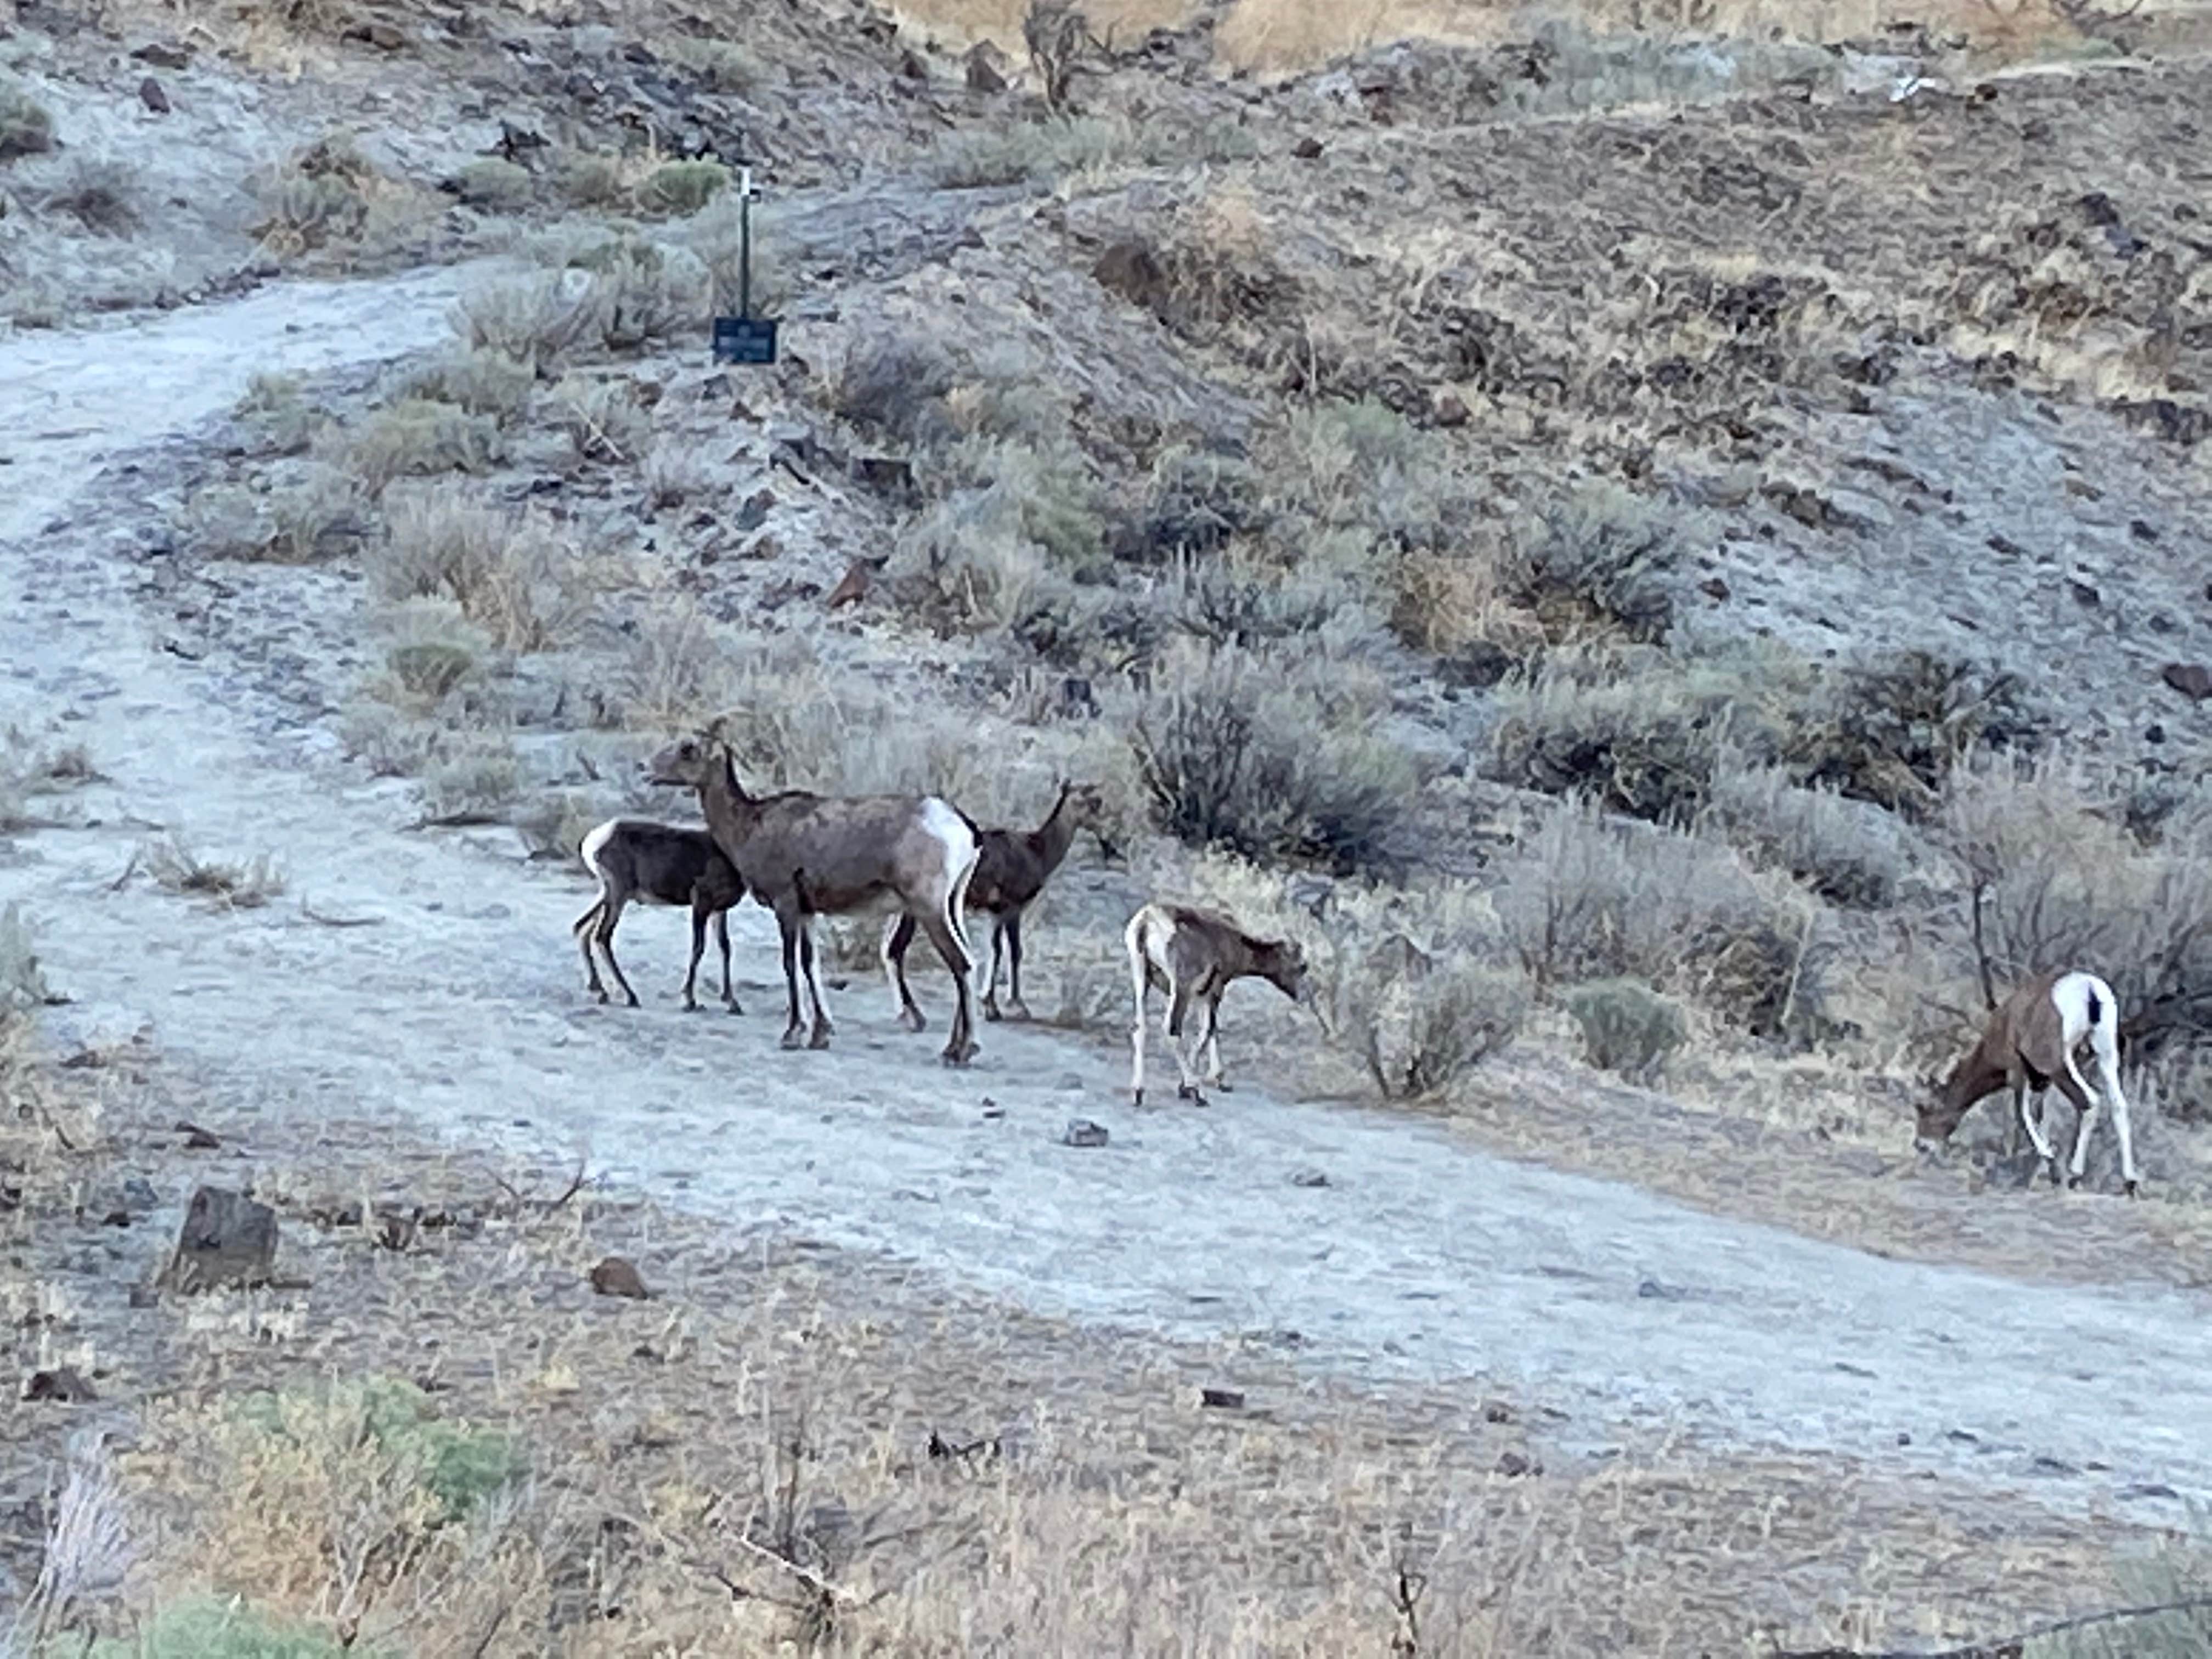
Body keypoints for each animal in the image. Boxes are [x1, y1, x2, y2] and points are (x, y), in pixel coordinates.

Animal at [575, 818, 747, 1013]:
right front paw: (690, 1001)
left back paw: (600, 991)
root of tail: (595, 839)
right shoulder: (700, 906)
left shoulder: (719, 911)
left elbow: (725, 947)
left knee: (582, 927)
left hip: (608, 896)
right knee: (602, 936)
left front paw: (732, 1002)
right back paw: (630, 997)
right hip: (618, 896)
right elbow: (698, 948)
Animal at [646, 738, 982, 1066]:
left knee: (961, 964)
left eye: (687, 749)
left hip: (929, 910)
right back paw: (954, 1048)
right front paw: (820, 1034)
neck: (749, 827)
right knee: (968, 960)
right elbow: (810, 964)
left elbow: (790, 963)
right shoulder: (807, 912)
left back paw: (961, 1052)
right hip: (951, 906)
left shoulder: (786, 906)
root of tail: (962, 828)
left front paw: (793, 1034)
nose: (644, 768)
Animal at [880, 778, 1115, 1026]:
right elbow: (1011, 951)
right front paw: (1010, 1006)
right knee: (896, 950)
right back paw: (913, 1015)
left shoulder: (995, 911)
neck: (1038, 852)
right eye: (1093, 802)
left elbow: (995, 949)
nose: (1107, 835)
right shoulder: (1011, 908)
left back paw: (906, 1013)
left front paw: (992, 1004)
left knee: (889, 950)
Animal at [1124, 902, 1309, 1110]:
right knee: (1172, 1030)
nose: (1303, 998)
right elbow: (1209, 1030)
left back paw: (1138, 1092)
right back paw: (1198, 1093)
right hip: (1180, 989)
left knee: (1139, 1029)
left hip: (1141, 979)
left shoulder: (1201, 996)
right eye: (1302, 967)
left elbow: (1210, 1031)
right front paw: (1191, 1086)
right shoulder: (1214, 992)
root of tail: (1147, 921)